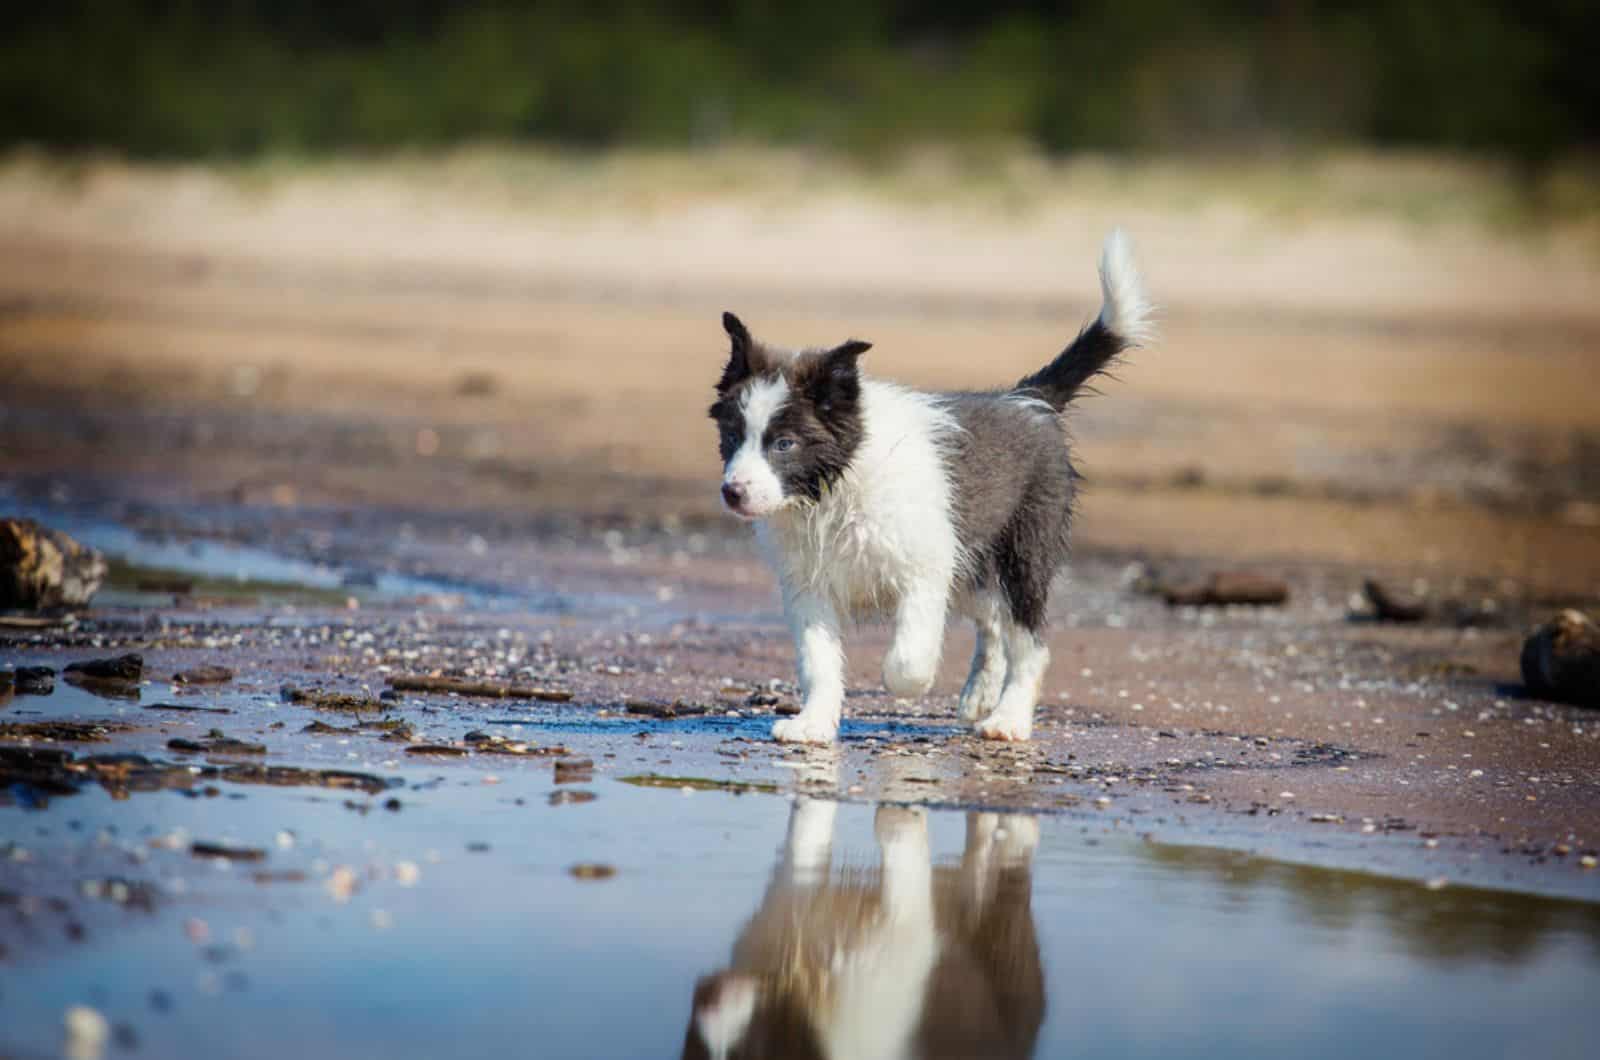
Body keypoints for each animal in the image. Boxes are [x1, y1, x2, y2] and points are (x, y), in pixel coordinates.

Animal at [713, 232, 1152, 746]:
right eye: (732, 435)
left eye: (784, 444)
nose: (733, 492)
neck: (835, 490)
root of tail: (1029, 400)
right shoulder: (808, 585)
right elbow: (818, 661)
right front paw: (814, 723)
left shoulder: (924, 570)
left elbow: (908, 659)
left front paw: (903, 684)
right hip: (969, 561)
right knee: (993, 621)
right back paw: (981, 693)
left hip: (1023, 552)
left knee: (1029, 641)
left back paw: (1008, 718)